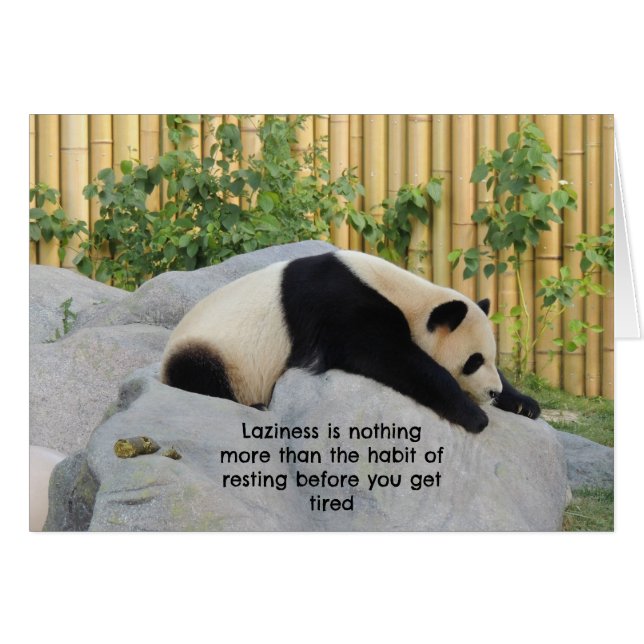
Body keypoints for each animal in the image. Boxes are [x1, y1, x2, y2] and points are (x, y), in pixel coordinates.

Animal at [161, 250, 540, 434]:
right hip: (216, 350)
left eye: (491, 359)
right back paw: (254, 405)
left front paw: (524, 403)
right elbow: (386, 356)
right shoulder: (343, 307)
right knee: (198, 375)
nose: (492, 392)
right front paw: (473, 415)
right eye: (473, 361)